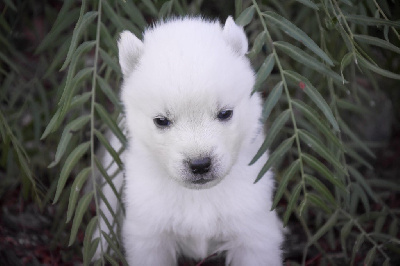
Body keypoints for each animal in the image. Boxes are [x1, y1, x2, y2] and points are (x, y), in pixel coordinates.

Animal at [97, 16, 284, 264]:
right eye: (161, 121)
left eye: (225, 113)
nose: (200, 164)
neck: (198, 196)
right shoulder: (149, 237)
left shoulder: (253, 234)